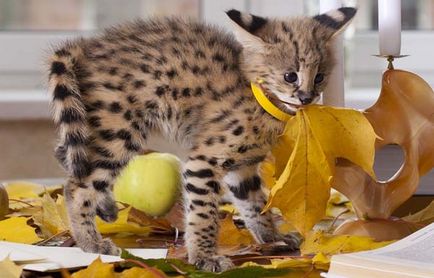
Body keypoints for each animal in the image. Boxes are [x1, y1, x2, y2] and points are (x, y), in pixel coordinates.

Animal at [48, 7, 356, 272]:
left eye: (320, 77)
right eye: (290, 76)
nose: (306, 98)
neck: (263, 101)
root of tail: (89, 46)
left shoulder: (243, 167)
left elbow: (254, 202)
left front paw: (271, 237)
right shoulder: (204, 160)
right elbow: (204, 211)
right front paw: (204, 256)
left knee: (65, 153)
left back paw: (105, 207)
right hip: (120, 129)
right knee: (77, 185)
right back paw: (91, 242)